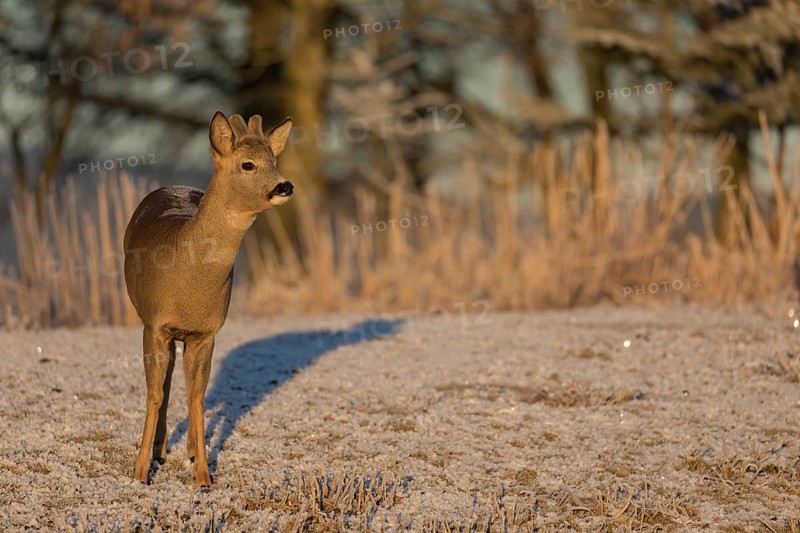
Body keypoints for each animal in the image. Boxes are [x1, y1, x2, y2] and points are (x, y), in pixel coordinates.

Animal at [123, 111, 294, 487]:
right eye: (247, 164)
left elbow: (198, 396)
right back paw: (158, 450)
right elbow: (155, 393)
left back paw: (183, 450)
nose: (285, 186)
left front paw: (203, 474)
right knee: (166, 383)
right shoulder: (154, 324)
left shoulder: (206, 332)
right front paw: (140, 472)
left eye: (274, 161)